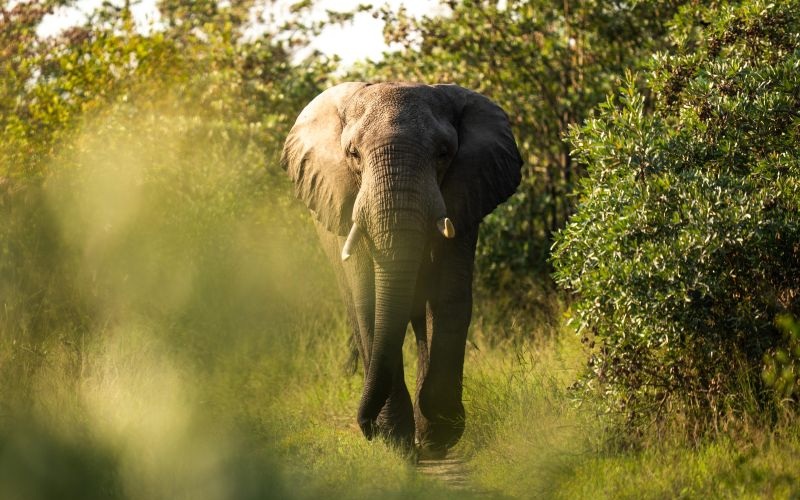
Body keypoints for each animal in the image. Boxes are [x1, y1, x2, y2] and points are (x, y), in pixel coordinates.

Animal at [281, 82, 522, 456]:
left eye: (443, 153)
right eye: (353, 154)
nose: (364, 428)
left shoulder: (464, 198)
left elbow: (449, 297)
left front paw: (438, 435)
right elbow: (369, 302)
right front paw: (395, 440)